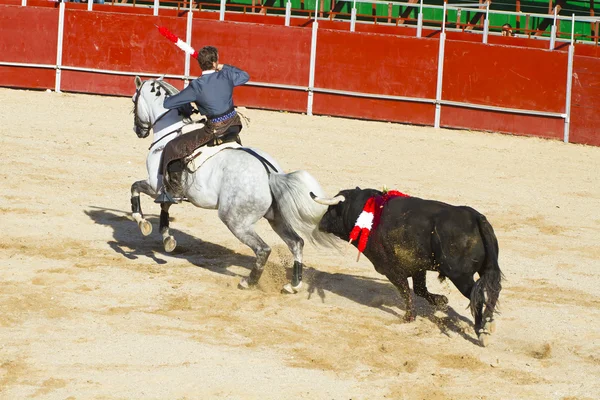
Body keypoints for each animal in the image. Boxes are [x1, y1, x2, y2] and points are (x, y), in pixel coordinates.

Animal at [130, 76, 332, 292]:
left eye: (134, 100)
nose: (138, 130)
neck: (169, 131)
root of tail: (269, 173)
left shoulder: (155, 186)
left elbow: (135, 188)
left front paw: (142, 223)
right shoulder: (166, 191)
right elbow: (164, 208)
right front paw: (168, 238)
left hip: (235, 221)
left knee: (263, 249)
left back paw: (248, 282)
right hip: (276, 217)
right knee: (296, 242)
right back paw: (293, 285)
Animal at [312, 188, 504, 346]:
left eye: (332, 210)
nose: (320, 224)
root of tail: (475, 217)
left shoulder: (391, 269)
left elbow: (405, 290)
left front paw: (408, 317)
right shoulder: (418, 267)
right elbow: (419, 290)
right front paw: (441, 301)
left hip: (460, 276)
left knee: (477, 296)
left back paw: (482, 332)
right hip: (487, 269)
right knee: (493, 291)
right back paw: (488, 324)